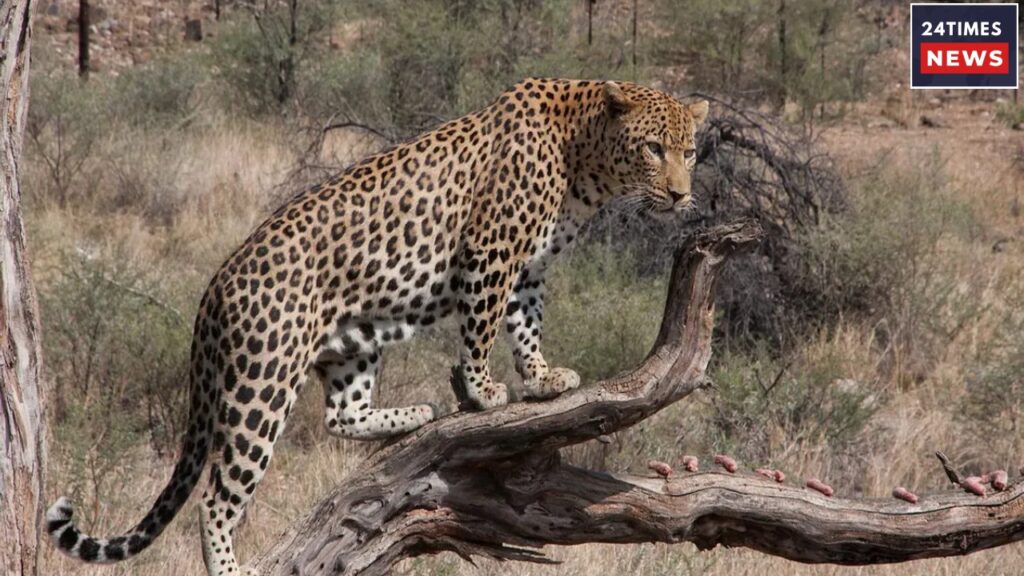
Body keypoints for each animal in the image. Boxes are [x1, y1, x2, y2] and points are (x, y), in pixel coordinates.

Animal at [46, 78, 709, 575]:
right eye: (654, 149)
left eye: (691, 151)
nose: (682, 196)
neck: (585, 159)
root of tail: (216, 285)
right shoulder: (490, 252)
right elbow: (482, 326)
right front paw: (482, 391)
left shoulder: (527, 267)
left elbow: (525, 326)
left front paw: (541, 379)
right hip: (262, 383)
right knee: (216, 497)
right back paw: (233, 566)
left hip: (353, 344)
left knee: (341, 415)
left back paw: (413, 414)